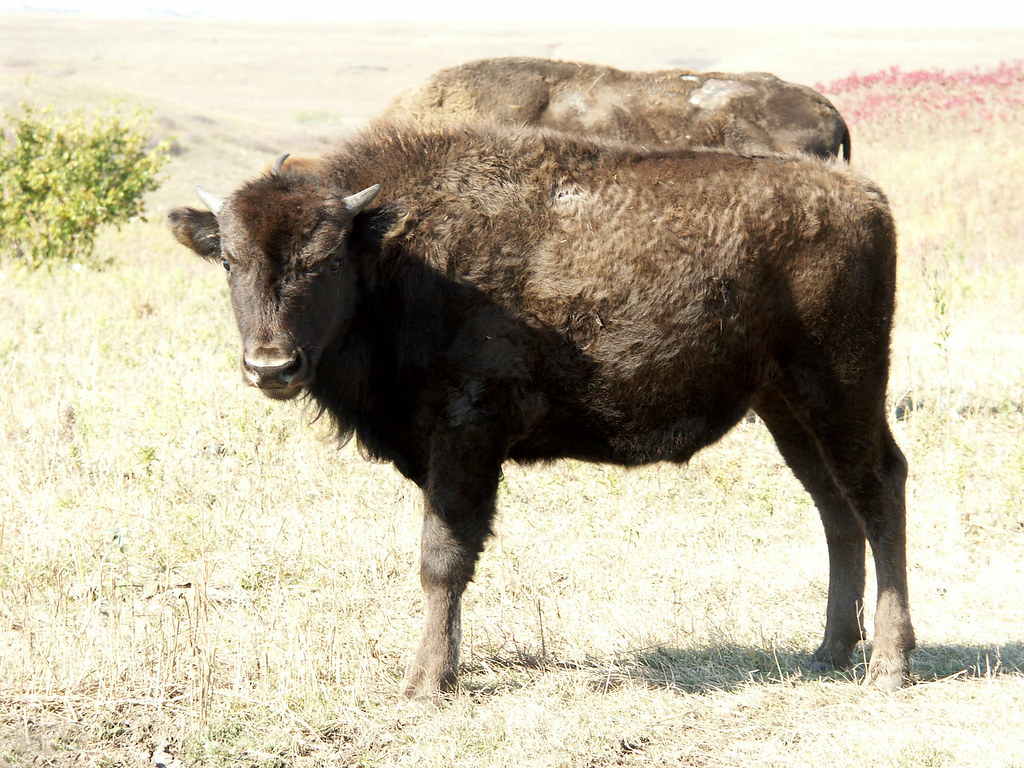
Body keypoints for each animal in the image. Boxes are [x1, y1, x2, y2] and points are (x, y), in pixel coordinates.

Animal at [169, 123, 912, 698]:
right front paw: (443, 670)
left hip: (842, 386)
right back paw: (830, 651)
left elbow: (442, 557)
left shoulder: (466, 435)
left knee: (879, 491)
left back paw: (890, 664)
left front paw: (423, 683)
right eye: (229, 261)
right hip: (786, 406)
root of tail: (866, 197)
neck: (393, 250)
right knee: (835, 508)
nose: (272, 366)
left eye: (324, 260)